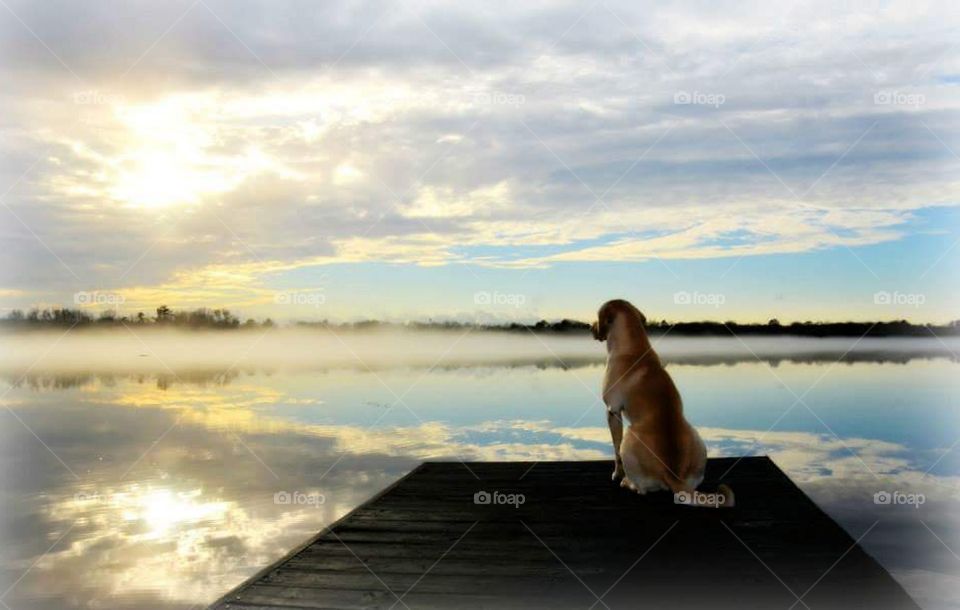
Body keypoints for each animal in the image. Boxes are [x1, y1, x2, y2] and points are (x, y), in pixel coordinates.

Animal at [588, 296, 732, 506]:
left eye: (598, 318)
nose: (589, 327)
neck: (634, 347)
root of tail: (673, 476)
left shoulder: (612, 411)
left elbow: (615, 450)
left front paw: (616, 474)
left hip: (630, 437)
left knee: (641, 488)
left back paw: (627, 482)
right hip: (696, 439)